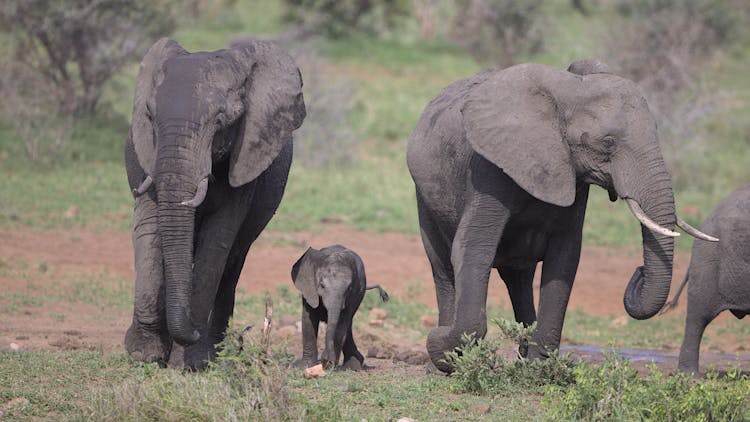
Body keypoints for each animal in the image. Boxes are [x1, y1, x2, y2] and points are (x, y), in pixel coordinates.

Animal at [123, 38, 306, 370]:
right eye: (150, 116)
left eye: (223, 121)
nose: (193, 331)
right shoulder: (143, 155)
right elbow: (149, 229)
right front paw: (144, 354)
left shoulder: (245, 161)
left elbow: (217, 242)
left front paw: (189, 362)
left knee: (233, 262)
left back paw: (214, 349)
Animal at [408, 59, 720, 372]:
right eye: (608, 142)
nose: (640, 271)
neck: (568, 93)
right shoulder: (488, 169)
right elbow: (474, 248)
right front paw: (443, 346)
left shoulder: (574, 177)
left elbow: (565, 256)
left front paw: (540, 371)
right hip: (425, 199)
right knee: (443, 268)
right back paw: (440, 361)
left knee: (518, 278)